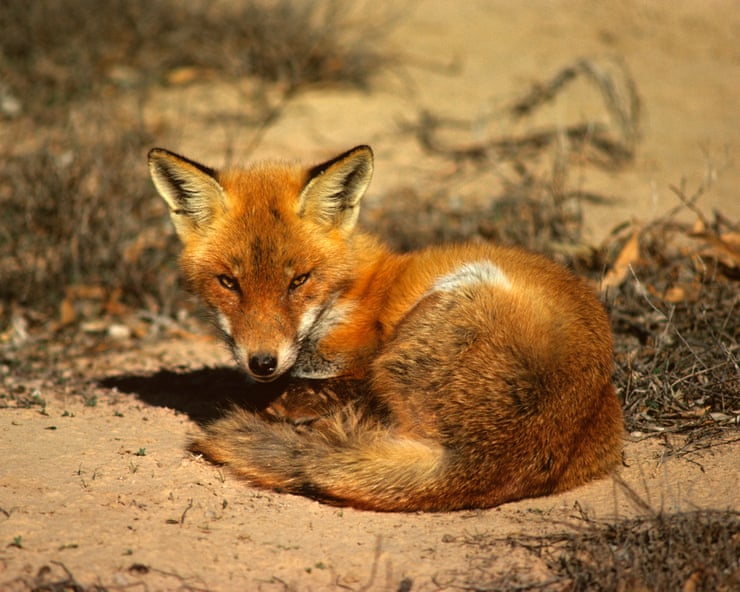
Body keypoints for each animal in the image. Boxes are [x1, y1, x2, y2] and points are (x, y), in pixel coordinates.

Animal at [148, 144, 624, 512]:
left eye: (298, 280)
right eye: (229, 282)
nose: (262, 362)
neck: (347, 298)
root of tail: (486, 460)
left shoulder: (352, 370)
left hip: (449, 301)